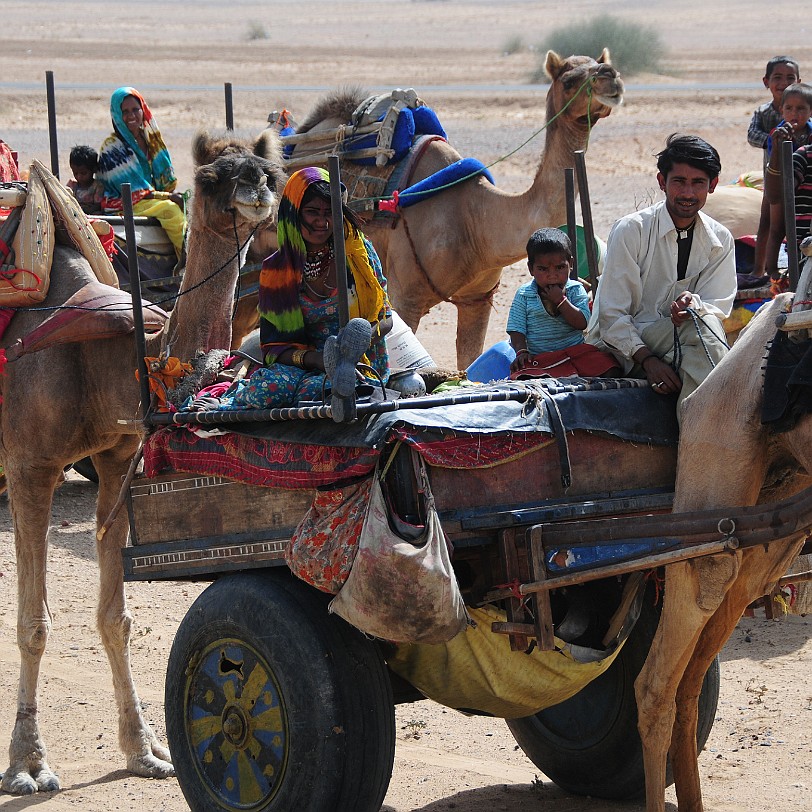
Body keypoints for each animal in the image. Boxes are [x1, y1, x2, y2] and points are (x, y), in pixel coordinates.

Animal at [0, 128, 286, 792]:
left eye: (267, 171)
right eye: (211, 177)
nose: (255, 191)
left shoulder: (115, 459)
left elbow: (115, 617)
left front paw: (144, 750)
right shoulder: (30, 466)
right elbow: (33, 623)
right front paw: (28, 763)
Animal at [288, 49, 624, 366]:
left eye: (601, 64)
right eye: (569, 81)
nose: (612, 76)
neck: (476, 219)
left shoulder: (478, 299)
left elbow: (469, 363)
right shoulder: (405, 297)